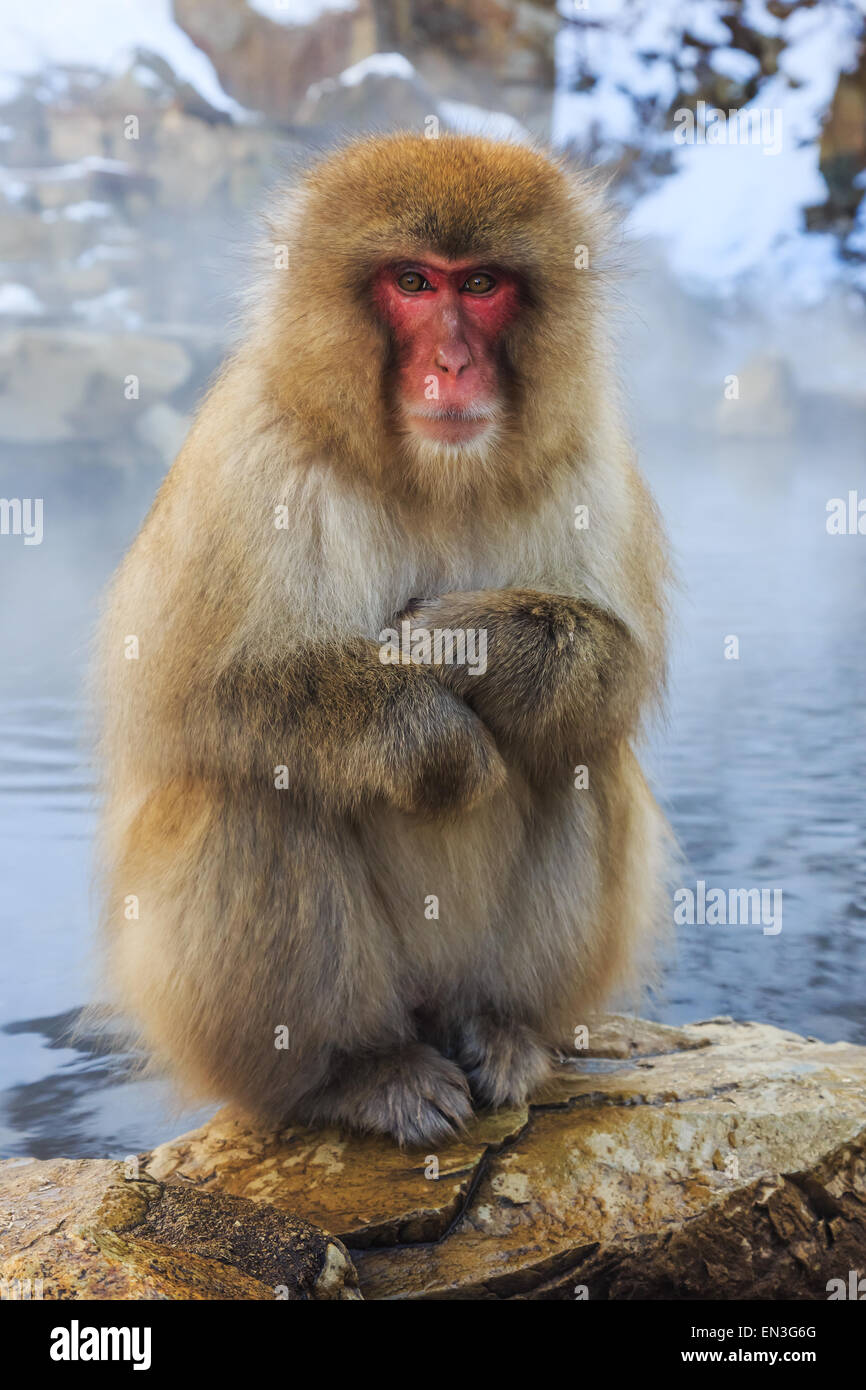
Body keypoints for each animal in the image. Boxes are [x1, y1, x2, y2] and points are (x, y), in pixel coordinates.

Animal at [97, 135, 675, 1145]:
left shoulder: (586, 449)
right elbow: (186, 698)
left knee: (584, 754)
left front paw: (471, 643)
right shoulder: (251, 452)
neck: (431, 474)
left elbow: (616, 664)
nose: (452, 362)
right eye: (412, 281)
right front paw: (433, 736)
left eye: (480, 284)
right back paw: (357, 1071)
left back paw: (503, 1027)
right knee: (253, 787)